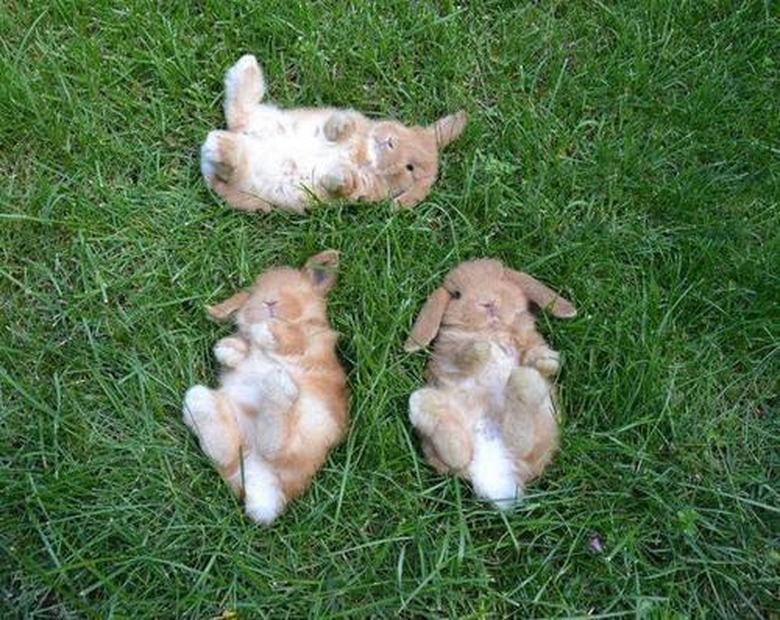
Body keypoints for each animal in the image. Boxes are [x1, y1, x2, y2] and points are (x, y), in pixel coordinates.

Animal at [183, 249, 348, 524]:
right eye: (255, 294)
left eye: (296, 291)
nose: (269, 303)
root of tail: (263, 482)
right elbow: (242, 349)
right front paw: (226, 348)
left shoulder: (311, 340)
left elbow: (292, 336)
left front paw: (265, 332)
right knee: (228, 452)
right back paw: (202, 404)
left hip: (315, 423)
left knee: (279, 447)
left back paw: (278, 388)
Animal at [203, 56, 470, 216]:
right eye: (407, 132)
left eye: (410, 168)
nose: (388, 140)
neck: (365, 155)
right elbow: (339, 128)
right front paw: (342, 123)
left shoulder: (358, 190)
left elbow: (344, 183)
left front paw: (339, 173)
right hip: (265, 120)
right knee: (239, 112)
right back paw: (246, 68)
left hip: (246, 181)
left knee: (232, 158)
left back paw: (220, 146)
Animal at [406, 258, 576, 508]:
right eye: (456, 294)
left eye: (502, 279)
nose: (488, 302)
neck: (491, 330)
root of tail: (492, 470)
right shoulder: (447, 355)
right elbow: (461, 355)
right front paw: (481, 349)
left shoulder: (529, 341)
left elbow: (536, 355)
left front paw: (548, 360)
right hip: (426, 403)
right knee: (458, 455)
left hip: (543, 421)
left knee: (519, 440)